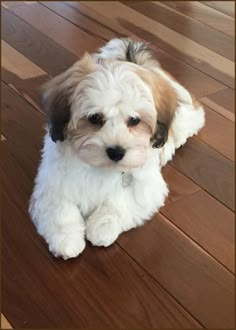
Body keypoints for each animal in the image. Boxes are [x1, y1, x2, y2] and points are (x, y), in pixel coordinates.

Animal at [28, 38, 204, 260]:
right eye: (95, 118)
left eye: (135, 120)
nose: (116, 152)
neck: (99, 167)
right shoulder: (53, 182)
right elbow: (60, 209)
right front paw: (66, 239)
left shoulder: (146, 187)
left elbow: (120, 201)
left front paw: (101, 227)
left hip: (186, 118)